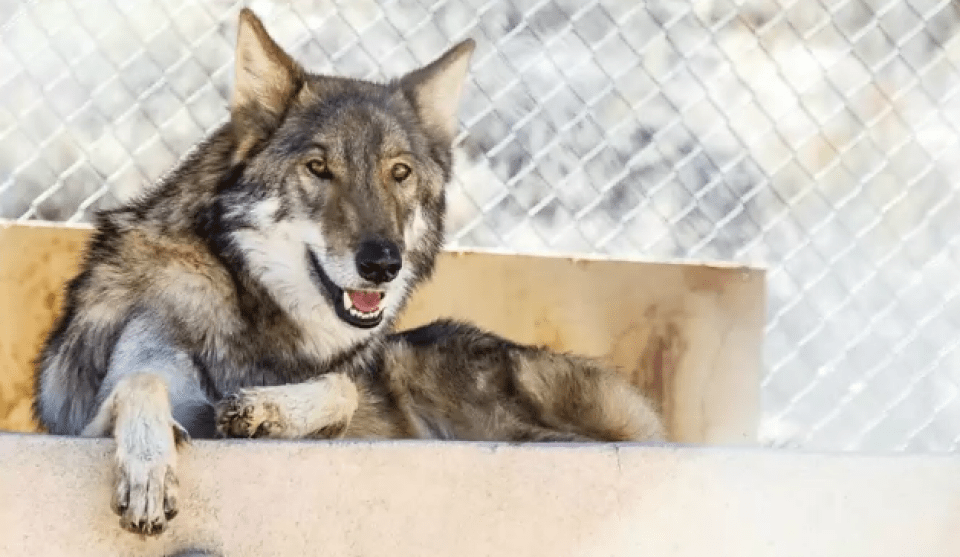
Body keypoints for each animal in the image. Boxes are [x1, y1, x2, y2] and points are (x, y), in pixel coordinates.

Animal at [30, 7, 660, 536]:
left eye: (399, 173)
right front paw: (148, 470)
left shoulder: (339, 401)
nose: (382, 263)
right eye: (318, 167)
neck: (253, 310)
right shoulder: (82, 427)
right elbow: (143, 383)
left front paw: (267, 411)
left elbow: (342, 387)